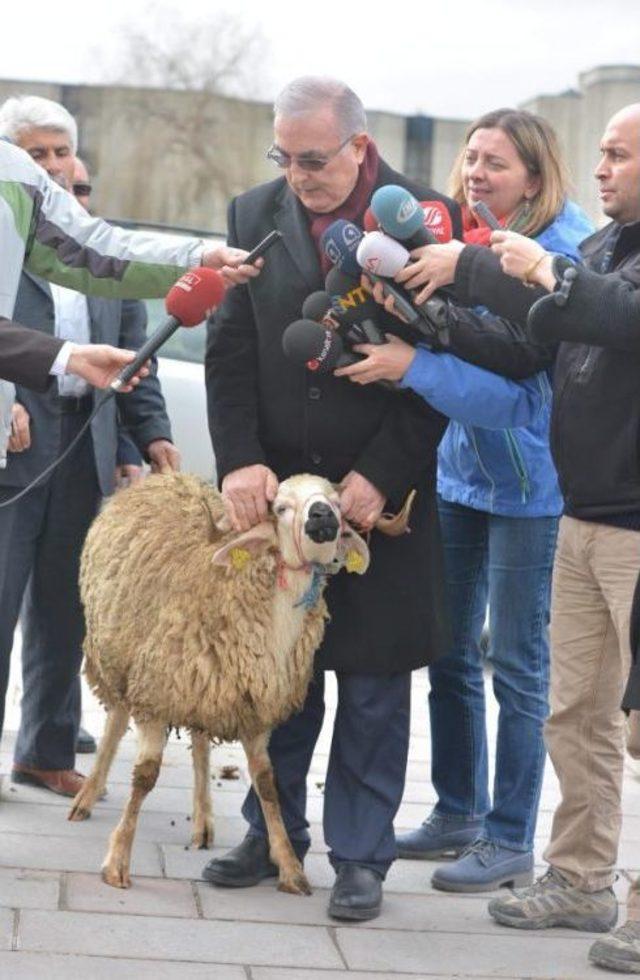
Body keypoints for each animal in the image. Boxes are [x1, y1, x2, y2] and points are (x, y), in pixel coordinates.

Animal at [67, 470, 368, 892]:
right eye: (280, 507)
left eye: (338, 503)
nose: (322, 515)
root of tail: (168, 474)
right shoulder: (156, 694)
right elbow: (145, 777)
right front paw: (118, 860)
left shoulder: (253, 708)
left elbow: (267, 783)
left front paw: (289, 865)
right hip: (120, 658)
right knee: (115, 721)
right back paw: (88, 795)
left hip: (201, 686)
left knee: (199, 742)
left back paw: (203, 820)